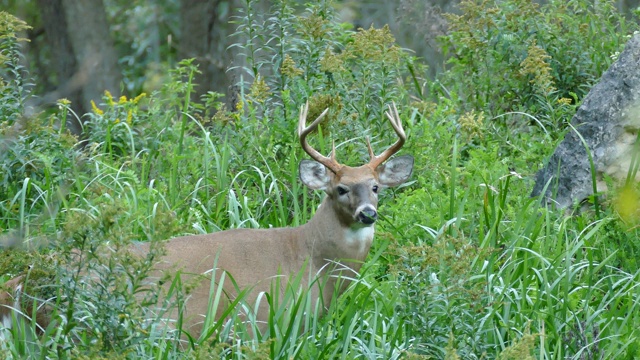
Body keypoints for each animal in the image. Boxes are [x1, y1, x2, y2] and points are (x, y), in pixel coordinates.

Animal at [0, 102, 412, 340]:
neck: (312, 261)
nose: (368, 213)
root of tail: (21, 282)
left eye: (376, 186)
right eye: (341, 188)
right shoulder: (262, 320)